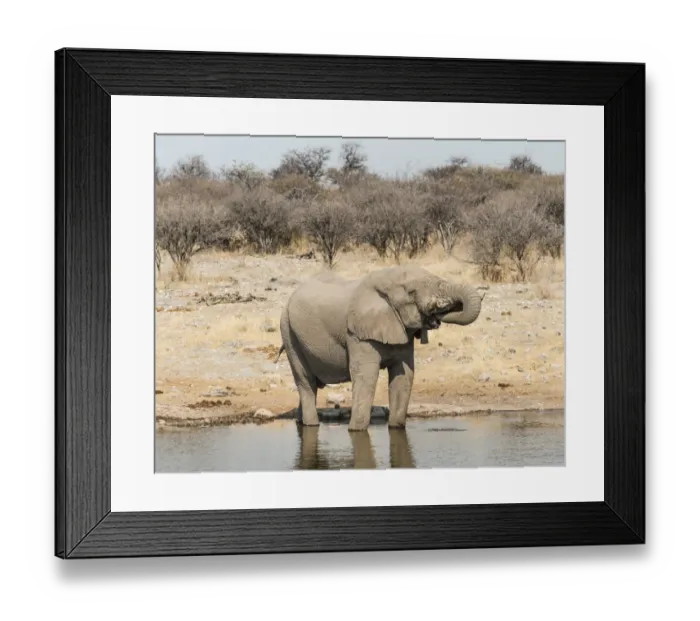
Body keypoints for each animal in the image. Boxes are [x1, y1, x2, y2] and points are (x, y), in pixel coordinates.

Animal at [276, 265, 484, 432]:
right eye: (412, 292)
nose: (436, 316)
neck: (385, 281)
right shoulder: (358, 333)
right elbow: (366, 376)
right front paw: (355, 430)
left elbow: (404, 375)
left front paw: (396, 427)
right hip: (289, 332)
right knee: (305, 381)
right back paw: (311, 424)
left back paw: (300, 422)